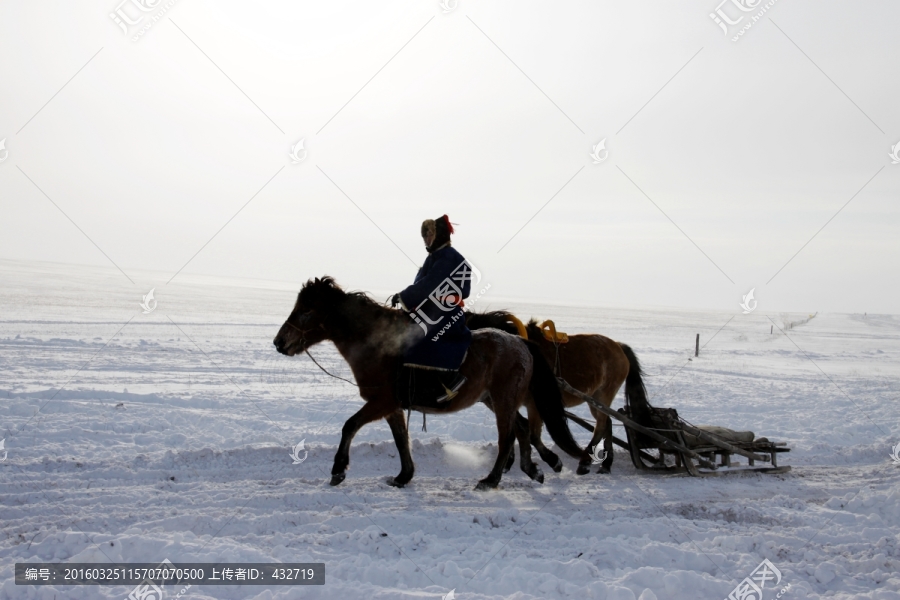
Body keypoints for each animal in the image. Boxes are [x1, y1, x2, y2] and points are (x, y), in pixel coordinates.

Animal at [274, 278, 584, 490]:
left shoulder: (382, 401)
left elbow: (350, 425)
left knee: (508, 436)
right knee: (521, 428)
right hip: (494, 400)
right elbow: (401, 439)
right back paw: (534, 468)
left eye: (305, 311)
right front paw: (403, 476)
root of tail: (520, 342)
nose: (279, 342)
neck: (380, 343)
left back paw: (492, 479)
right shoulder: (392, 406)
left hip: (503, 399)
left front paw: (338, 469)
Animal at [464, 312, 648, 476]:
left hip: (604, 393)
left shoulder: (535, 404)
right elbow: (516, 429)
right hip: (594, 399)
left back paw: (585, 461)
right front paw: (509, 462)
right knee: (607, 422)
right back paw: (606, 464)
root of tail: (618, 345)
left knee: (601, 425)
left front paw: (553, 461)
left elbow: (533, 435)